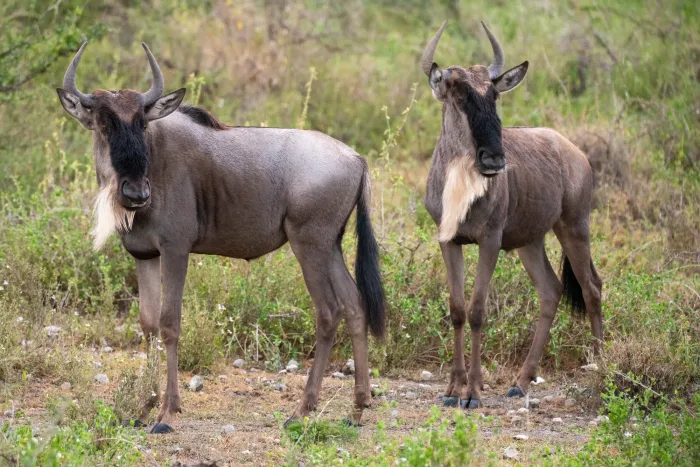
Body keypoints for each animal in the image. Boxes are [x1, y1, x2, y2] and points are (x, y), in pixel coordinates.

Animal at [56, 42, 385, 433]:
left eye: (142, 123)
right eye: (104, 123)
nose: (136, 194)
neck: (155, 159)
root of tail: (357, 158)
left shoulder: (176, 250)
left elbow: (169, 324)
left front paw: (167, 413)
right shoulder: (144, 255)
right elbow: (148, 325)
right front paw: (144, 408)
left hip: (310, 245)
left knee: (329, 312)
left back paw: (302, 410)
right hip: (331, 246)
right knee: (354, 305)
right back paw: (358, 407)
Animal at [421, 22, 603, 408]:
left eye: (494, 96)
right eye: (459, 96)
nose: (494, 159)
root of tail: (576, 153)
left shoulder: (489, 241)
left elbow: (477, 310)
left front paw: (473, 393)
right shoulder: (449, 241)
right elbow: (457, 310)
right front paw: (452, 389)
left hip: (574, 227)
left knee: (591, 287)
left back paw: (603, 366)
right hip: (529, 242)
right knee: (551, 291)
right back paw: (521, 381)